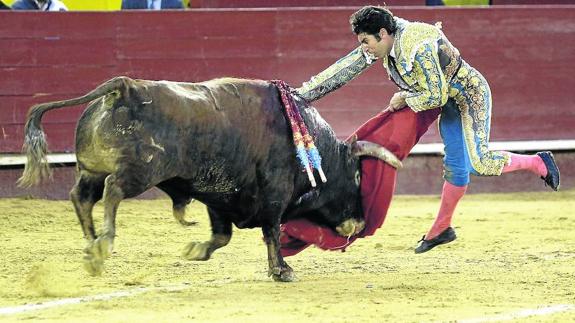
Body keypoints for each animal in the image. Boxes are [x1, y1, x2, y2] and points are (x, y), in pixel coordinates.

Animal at [16, 77, 400, 282]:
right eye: (356, 176)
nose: (360, 222)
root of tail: (125, 87)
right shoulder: (274, 192)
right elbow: (272, 232)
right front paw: (281, 270)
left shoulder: (218, 195)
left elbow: (222, 235)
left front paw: (195, 250)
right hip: (140, 172)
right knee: (112, 191)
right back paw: (104, 242)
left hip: (92, 169)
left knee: (82, 196)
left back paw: (91, 244)